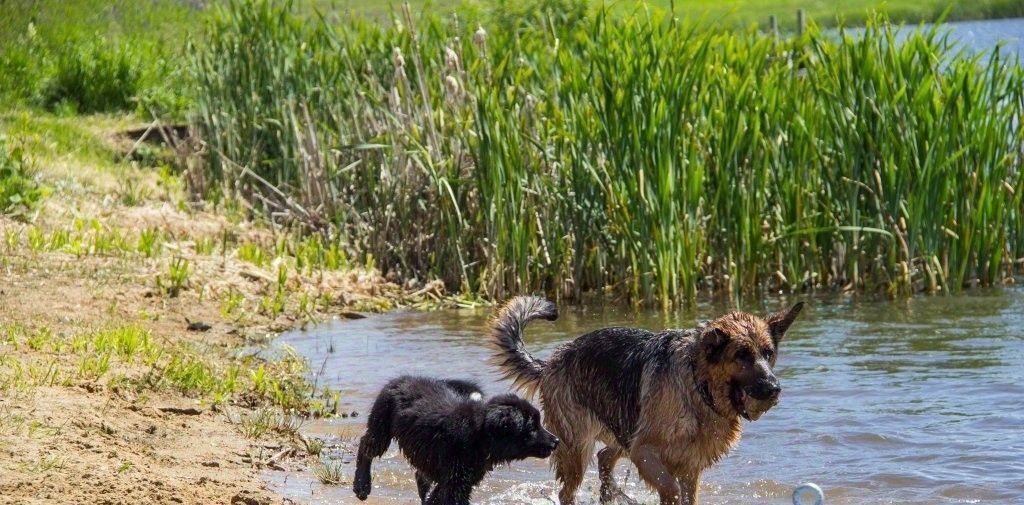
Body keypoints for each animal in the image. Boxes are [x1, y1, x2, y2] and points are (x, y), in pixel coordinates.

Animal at [352, 376, 561, 501]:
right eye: (532, 428)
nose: (556, 441)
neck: (479, 437)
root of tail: (401, 379)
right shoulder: (455, 483)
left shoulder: (458, 481)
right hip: (380, 426)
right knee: (365, 447)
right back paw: (362, 485)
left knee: (421, 476)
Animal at [491, 295, 802, 503]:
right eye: (742, 356)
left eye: (768, 354)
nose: (774, 389)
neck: (696, 387)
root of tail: (550, 363)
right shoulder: (645, 452)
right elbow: (671, 489)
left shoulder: (690, 468)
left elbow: (686, 494)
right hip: (577, 449)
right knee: (568, 490)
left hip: (622, 431)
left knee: (604, 458)